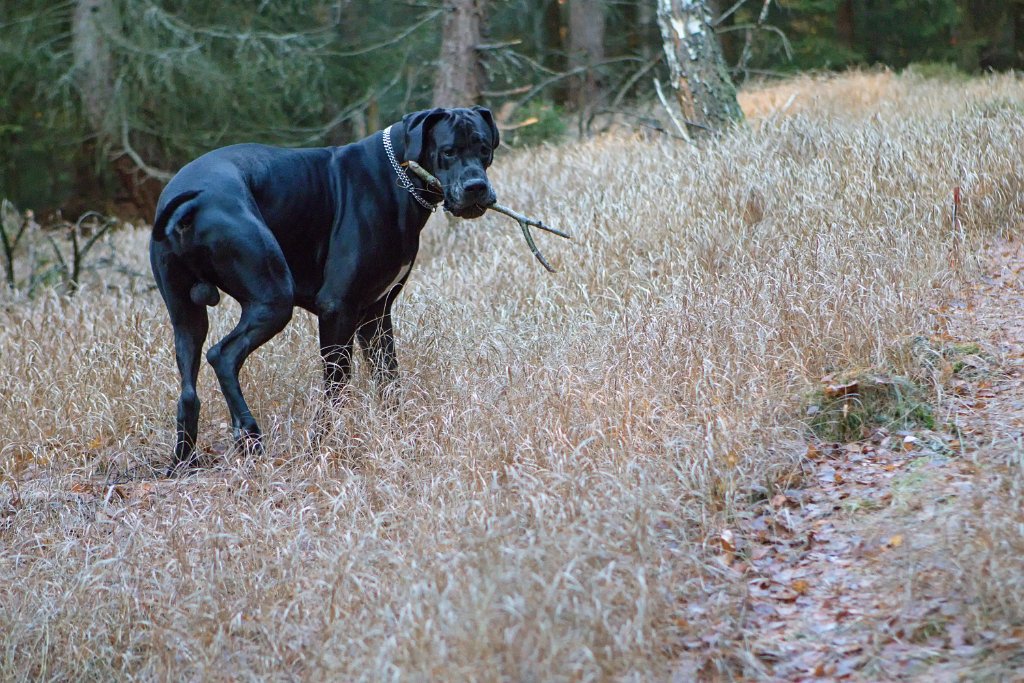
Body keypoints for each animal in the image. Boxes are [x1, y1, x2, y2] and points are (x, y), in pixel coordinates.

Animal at [150, 107, 499, 473]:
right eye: (448, 151)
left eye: (484, 148)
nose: (476, 187)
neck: (398, 175)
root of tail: (193, 198)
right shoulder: (338, 309)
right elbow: (336, 388)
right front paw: (326, 445)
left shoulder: (376, 315)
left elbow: (389, 381)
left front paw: (399, 434)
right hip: (274, 299)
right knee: (223, 355)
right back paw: (249, 433)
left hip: (187, 318)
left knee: (188, 390)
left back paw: (184, 459)